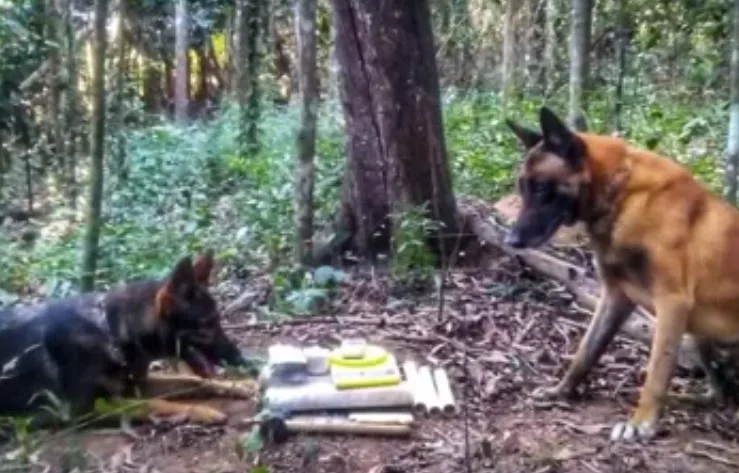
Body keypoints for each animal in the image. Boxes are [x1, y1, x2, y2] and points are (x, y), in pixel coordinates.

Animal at [506, 107, 739, 442]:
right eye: (521, 187)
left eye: (540, 187)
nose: (511, 241)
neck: (621, 194)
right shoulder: (615, 297)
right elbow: (586, 352)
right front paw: (561, 390)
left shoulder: (672, 302)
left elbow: (657, 370)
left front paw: (641, 422)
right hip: (698, 336)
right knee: (721, 394)